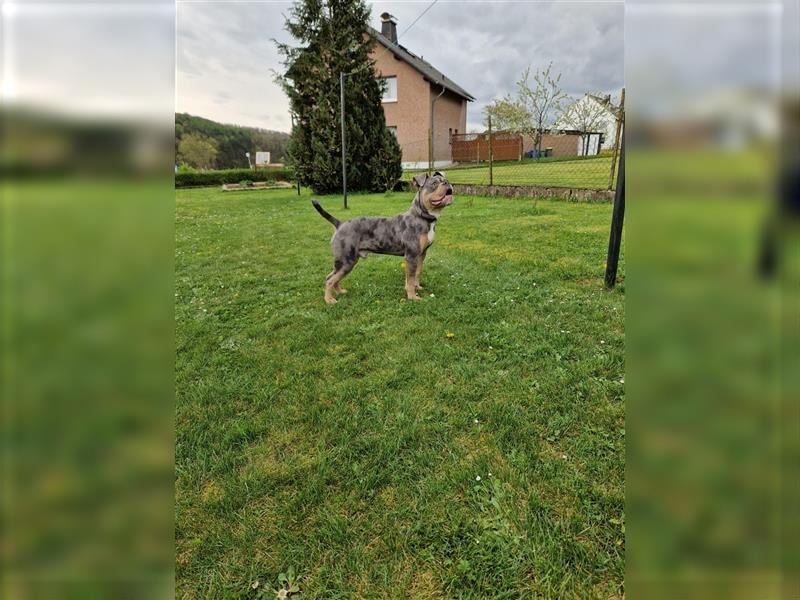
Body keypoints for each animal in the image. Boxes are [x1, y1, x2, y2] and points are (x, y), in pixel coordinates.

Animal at [310, 172, 454, 304]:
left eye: (445, 180)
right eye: (434, 183)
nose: (447, 183)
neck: (421, 217)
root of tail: (340, 224)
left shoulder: (421, 254)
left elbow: (417, 274)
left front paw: (417, 287)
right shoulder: (411, 255)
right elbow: (410, 278)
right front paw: (413, 296)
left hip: (346, 262)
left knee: (332, 276)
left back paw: (340, 291)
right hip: (346, 260)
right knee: (330, 279)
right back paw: (329, 299)